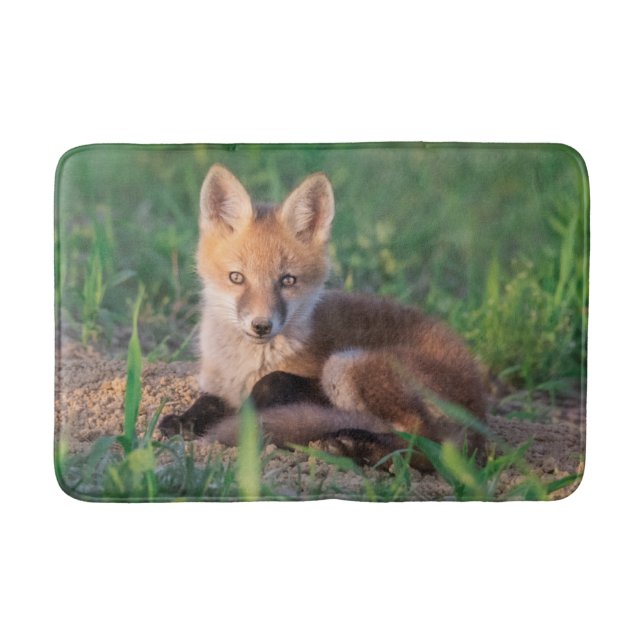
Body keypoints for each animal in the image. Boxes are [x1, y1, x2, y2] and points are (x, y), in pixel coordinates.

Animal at [159, 164, 487, 471]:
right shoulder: (216, 385)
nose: (262, 326)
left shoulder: (310, 382)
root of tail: (481, 413)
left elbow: (271, 382)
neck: (244, 366)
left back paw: (358, 445)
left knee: (428, 447)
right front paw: (185, 420)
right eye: (236, 278)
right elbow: (207, 401)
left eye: (288, 280)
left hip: (345, 364)